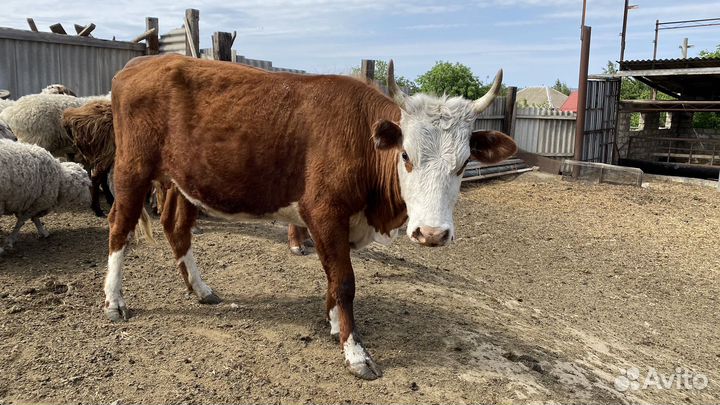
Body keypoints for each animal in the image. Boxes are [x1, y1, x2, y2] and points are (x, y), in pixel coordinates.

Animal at [104, 54, 517, 380]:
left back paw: (200, 289)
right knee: (119, 227)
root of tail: (141, 63)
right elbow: (345, 280)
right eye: (405, 156)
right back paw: (114, 300)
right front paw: (355, 352)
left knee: (176, 225)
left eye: (463, 164)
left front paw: (335, 325)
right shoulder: (324, 212)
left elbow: (333, 278)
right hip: (132, 168)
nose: (431, 233)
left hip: (181, 179)